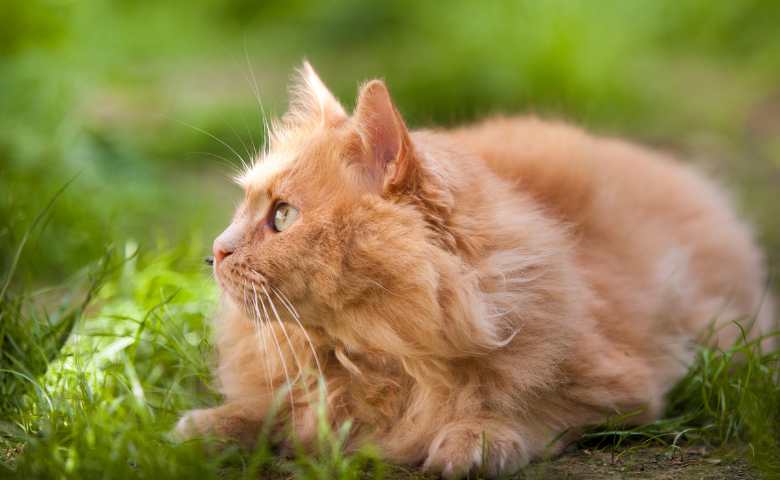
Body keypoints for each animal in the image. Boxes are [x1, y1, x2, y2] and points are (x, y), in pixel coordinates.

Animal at [175, 62, 772, 478]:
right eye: (244, 208)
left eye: (282, 215)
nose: (217, 252)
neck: (377, 352)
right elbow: (268, 407)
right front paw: (208, 427)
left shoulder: (623, 379)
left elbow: (528, 403)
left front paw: (477, 437)